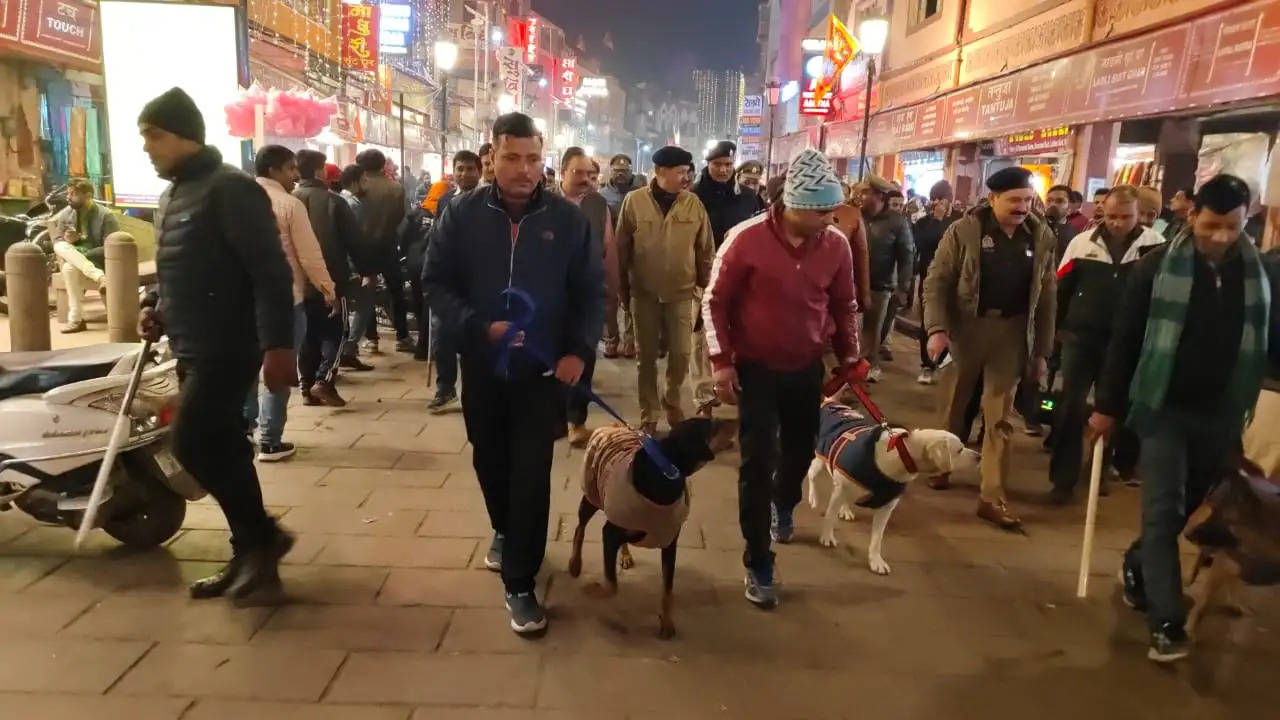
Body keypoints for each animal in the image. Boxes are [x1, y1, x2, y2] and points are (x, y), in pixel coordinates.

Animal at [803, 397, 972, 571]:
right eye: (959, 450)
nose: (978, 456)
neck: (901, 455)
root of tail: (831, 401)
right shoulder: (840, 491)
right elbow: (830, 517)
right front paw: (827, 536)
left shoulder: (886, 507)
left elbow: (877, 539)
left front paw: (876, 561)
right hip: (820, 460)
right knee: (812, 474)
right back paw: (814, 498)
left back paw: (845, 510)